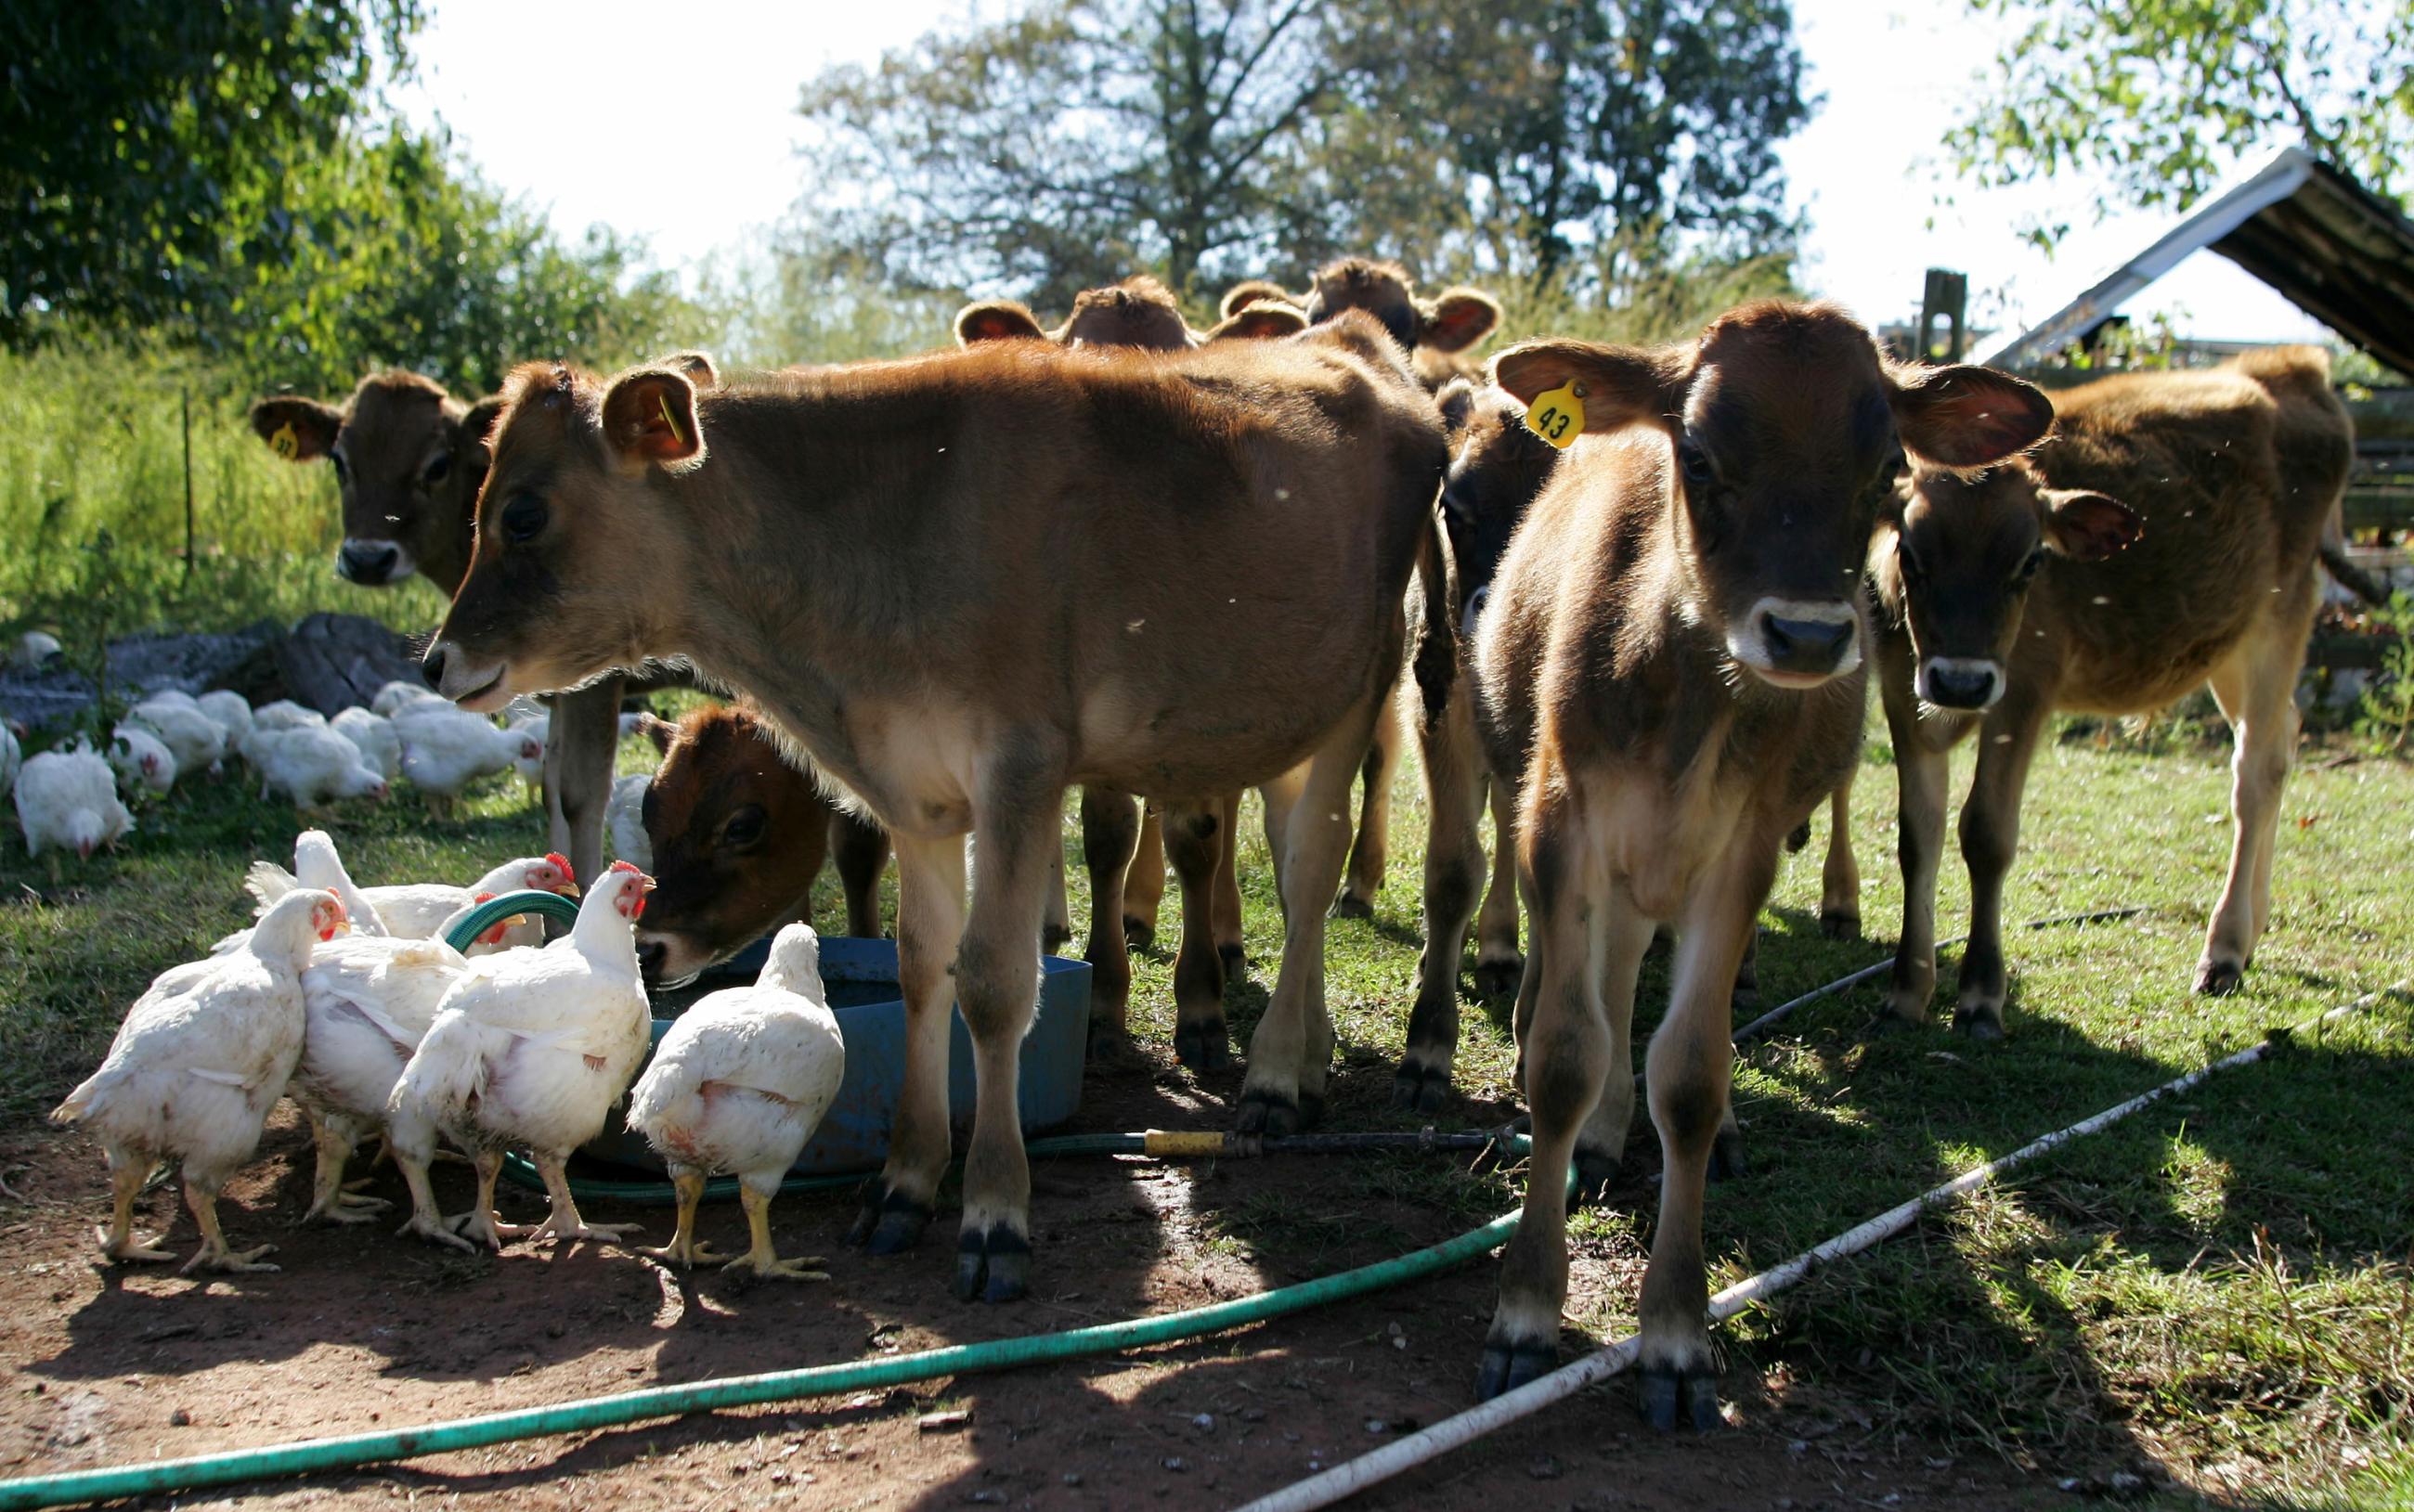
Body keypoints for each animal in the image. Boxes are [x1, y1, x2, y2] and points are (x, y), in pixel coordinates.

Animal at [1467, 311, 2057, 1428]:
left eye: (1886, 470)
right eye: (1697, 454)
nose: (1808, 634)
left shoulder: (1739, 849)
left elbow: (1692, 1074)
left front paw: (1675, 1336)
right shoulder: (1560, 820)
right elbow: (1563, 1054)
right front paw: (1523, 1309)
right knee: (1610, 988)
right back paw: (1600, 1138)